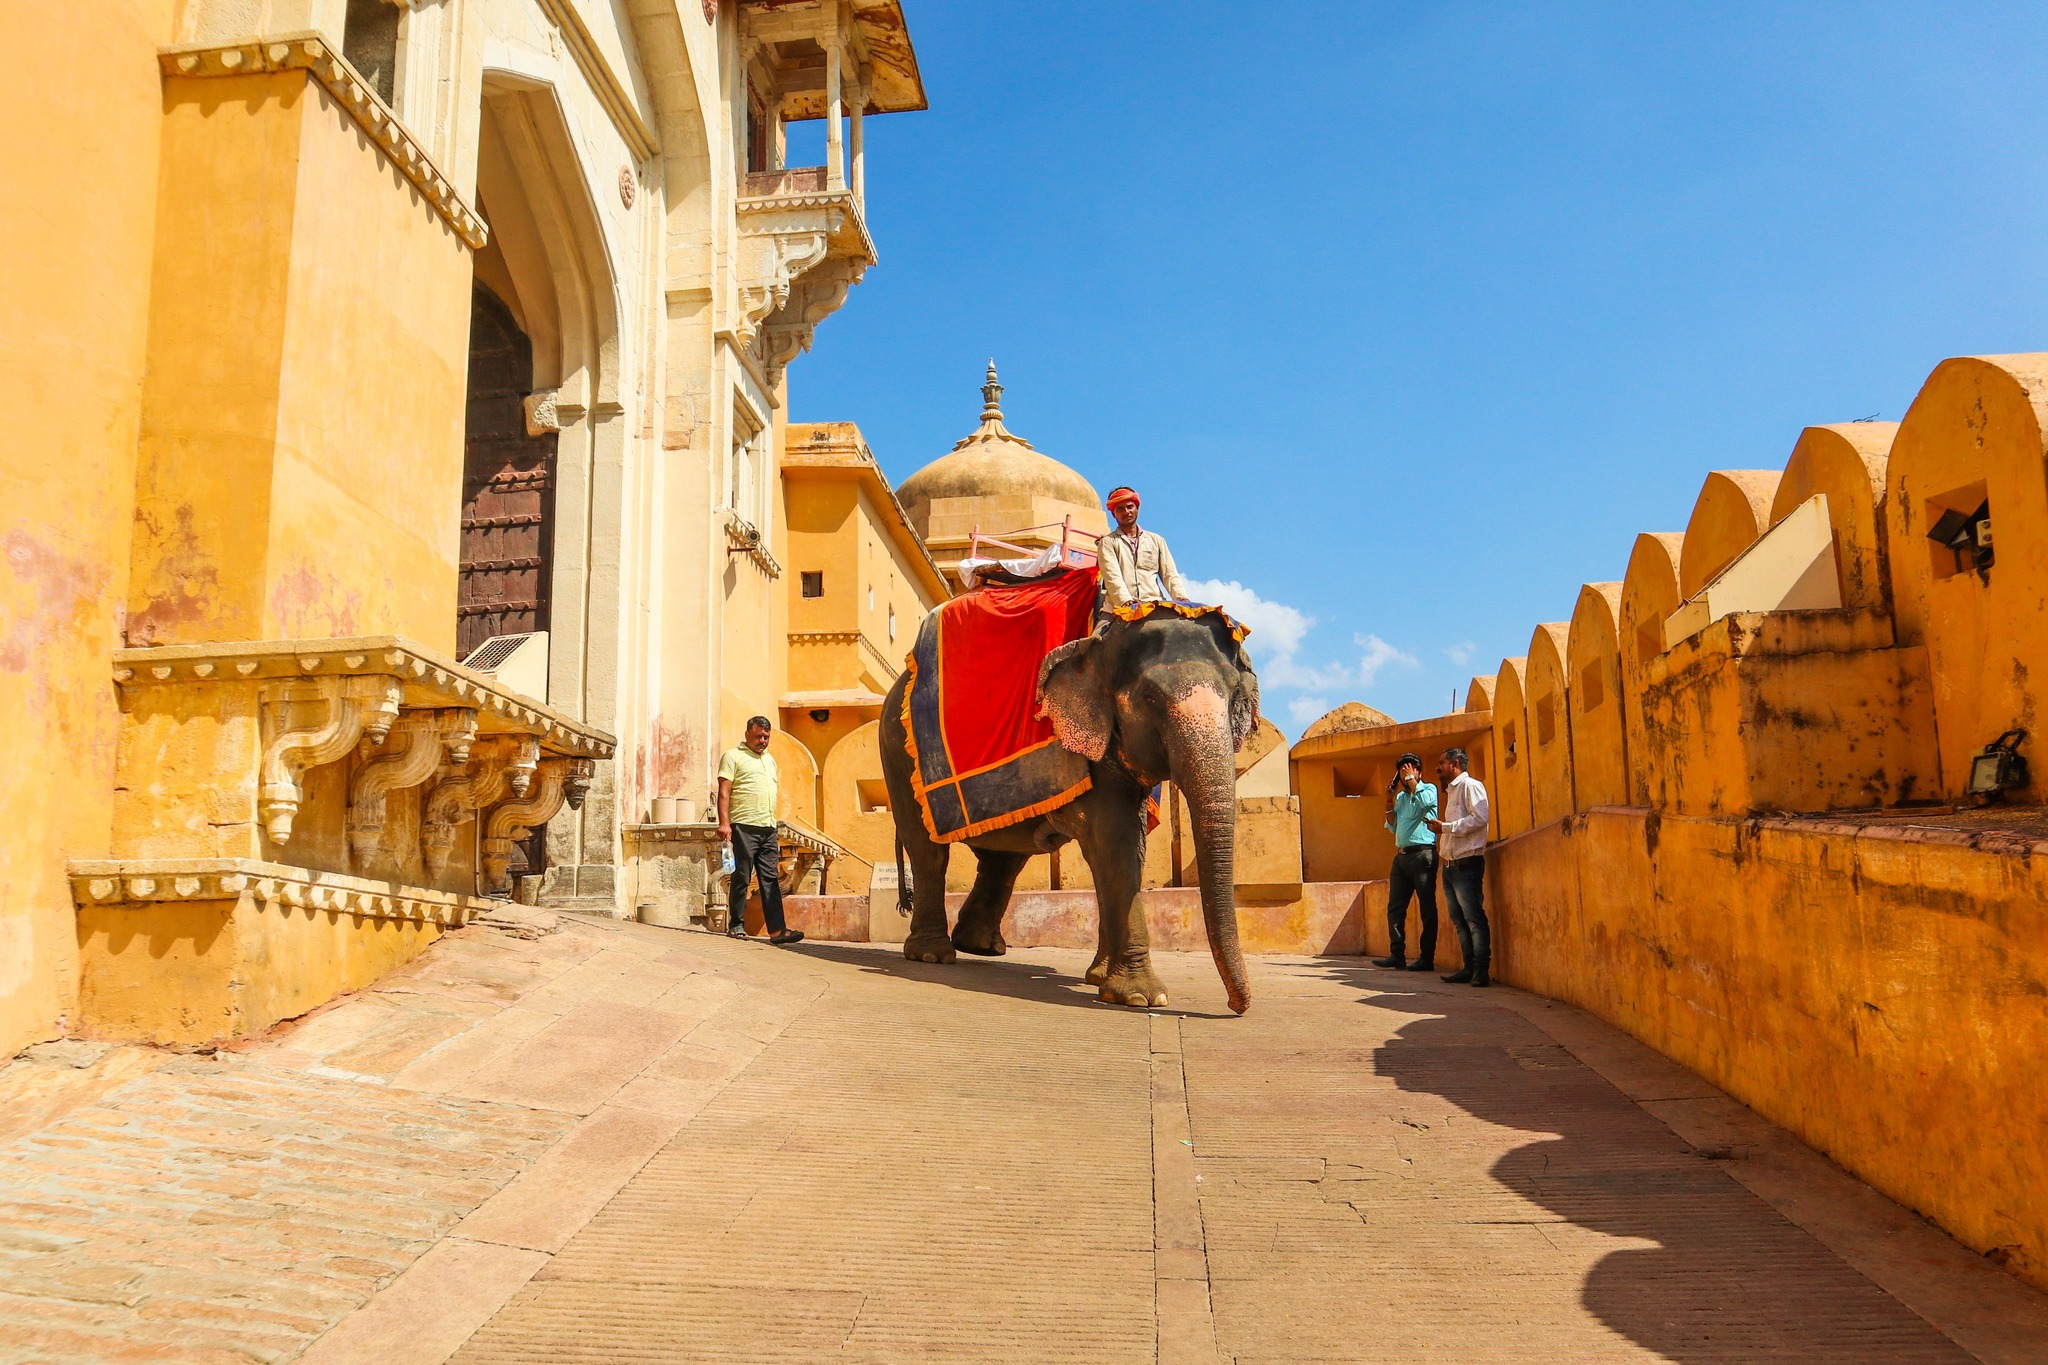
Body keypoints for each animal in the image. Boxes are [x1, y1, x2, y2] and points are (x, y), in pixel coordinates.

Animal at [876, 609, 1253, 1015]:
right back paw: (932, 955)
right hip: (897, 749)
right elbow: (1114, 844)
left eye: (1234, 693)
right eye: (1150, 697)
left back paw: (980, 946)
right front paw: (1142, 997)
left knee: (1004, 859)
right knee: (928, 850)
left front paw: (1100, 978)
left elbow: (1125, 850)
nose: (1237, 1006)